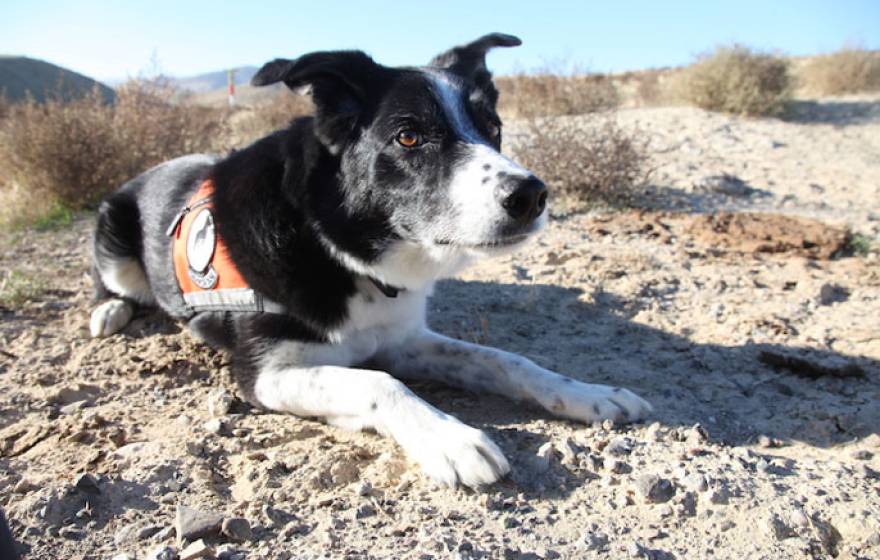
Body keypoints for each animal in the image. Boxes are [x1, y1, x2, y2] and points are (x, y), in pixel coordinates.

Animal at [91, 34, 652, 486]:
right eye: (408, 136)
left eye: (492, 128)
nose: (531, 195)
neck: (336, 248)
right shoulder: (264, 374)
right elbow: (379, 382)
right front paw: (452, 440)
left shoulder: (401, 340)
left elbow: (504, 359)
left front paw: (588, 393)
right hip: (112, 233)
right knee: (111, 282)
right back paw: (109, 311)